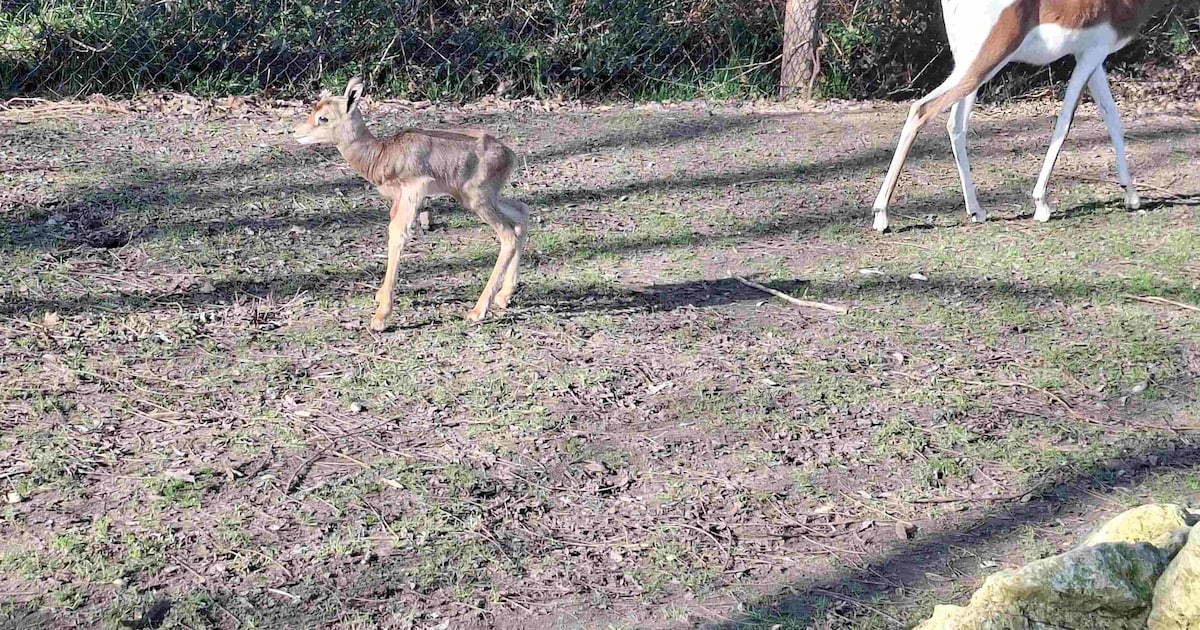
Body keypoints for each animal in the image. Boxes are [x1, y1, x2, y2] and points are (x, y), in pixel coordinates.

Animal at [293, 78, 530, 331]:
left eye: (323, 118)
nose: (295, 132)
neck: (382, 154)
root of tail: (509, 154)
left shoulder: (413, 190)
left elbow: (397, 233)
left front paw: (381, 316)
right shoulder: (398, 199)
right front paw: (380, 295)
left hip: (479, 199)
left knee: (508, 235)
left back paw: (477, 311)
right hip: (482, 197)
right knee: (521, 213)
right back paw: (504, 296)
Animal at [872, 0, 1166, 232]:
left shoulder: (1090, 56)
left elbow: (1112, 117)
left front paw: (1132, 195)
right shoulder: (1091, 54)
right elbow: (1065, 121)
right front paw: (1041, 204)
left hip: (967, 64)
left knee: (955, 125)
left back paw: (976, 210)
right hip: (987, 61)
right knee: (921, 109)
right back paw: (882, 215)